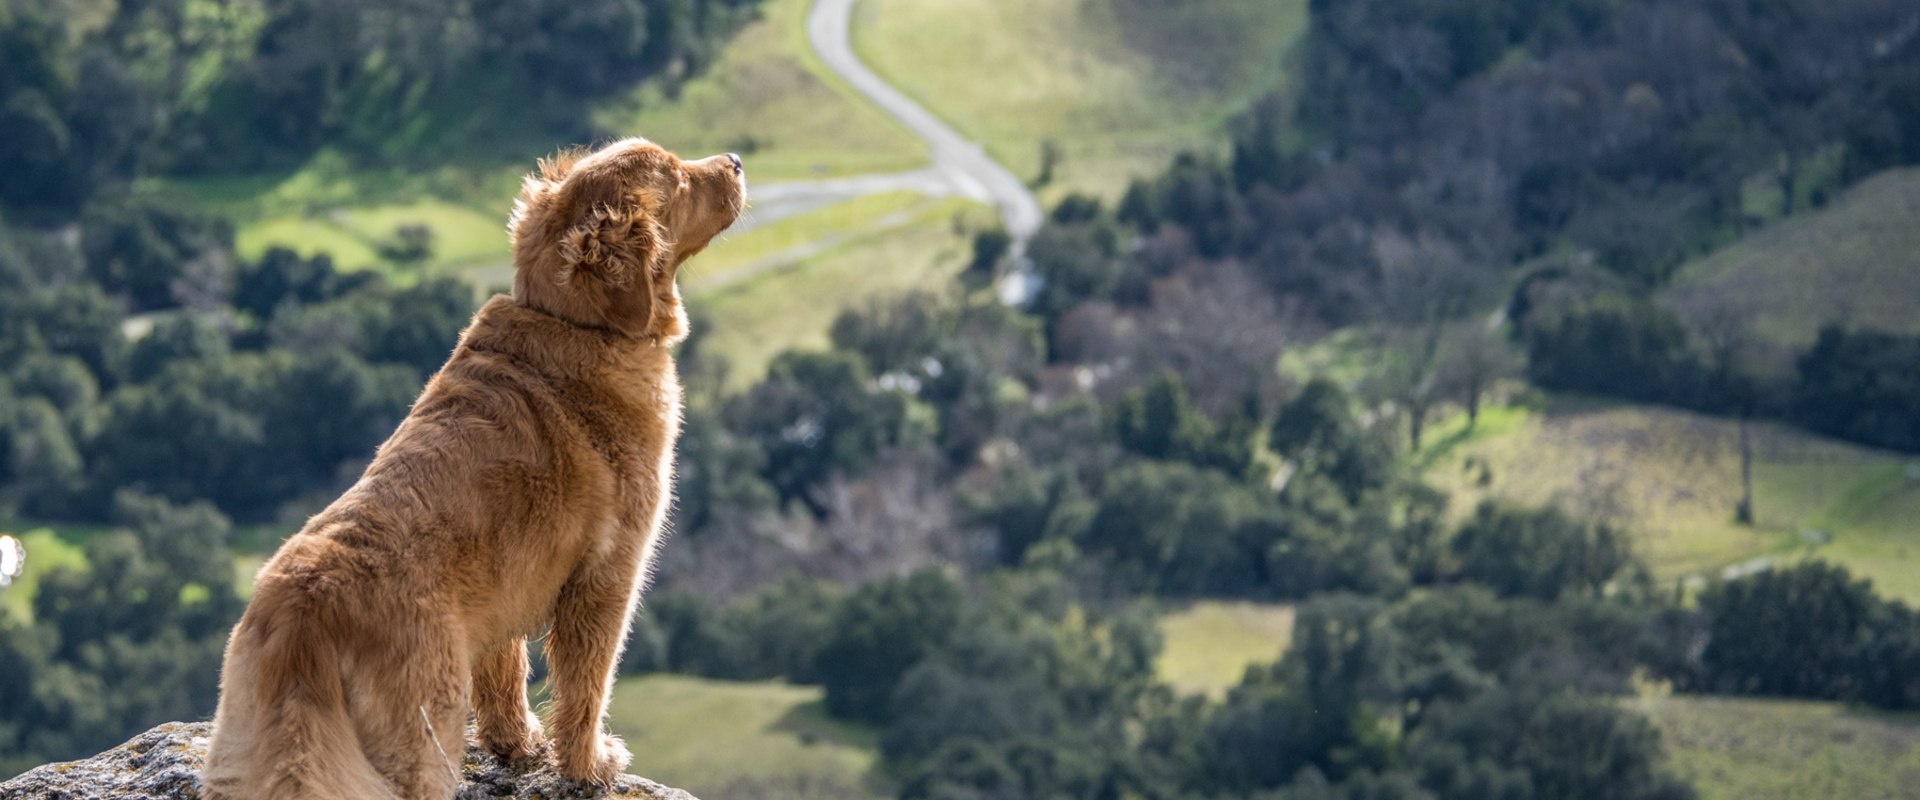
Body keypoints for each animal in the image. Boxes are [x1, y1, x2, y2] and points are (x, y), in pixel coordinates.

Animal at [206, 140, 744, 794]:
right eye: (678, 178)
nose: (736, 160)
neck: (573, 321)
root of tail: (304, 614)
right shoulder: (607, 574)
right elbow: (585, 686)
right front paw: (589, 764)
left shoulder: (504, 588)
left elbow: (504, 673)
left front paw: (517, 745)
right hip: (418, 739)